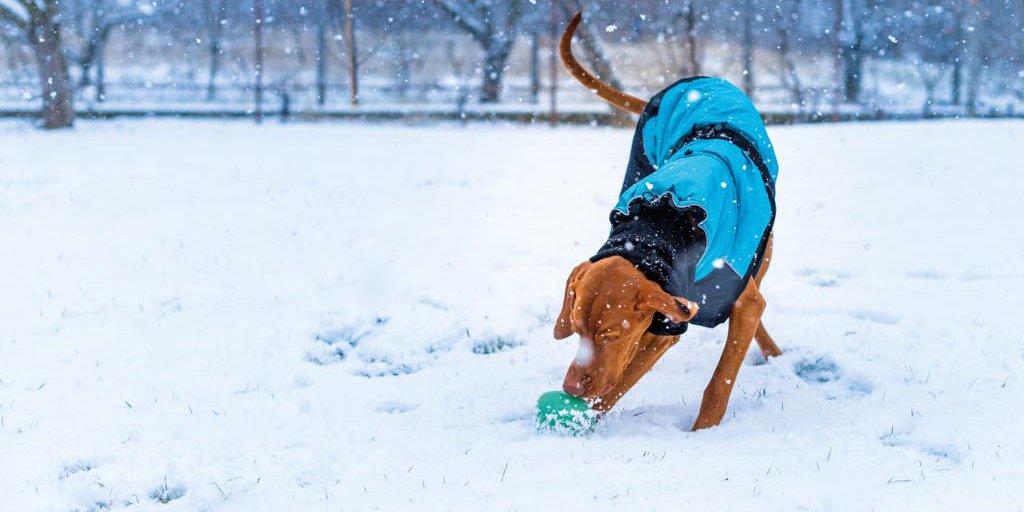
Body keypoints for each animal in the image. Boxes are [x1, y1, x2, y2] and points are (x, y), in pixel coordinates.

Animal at [557, 12, 778, 430]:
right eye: (576, 329)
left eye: (609, 335)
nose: (571, 388)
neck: (658, 229)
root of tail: (694, 80)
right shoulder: (665, 318)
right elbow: (621, 379)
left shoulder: (733, 304)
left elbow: (719, 382)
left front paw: (702, 433)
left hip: (764, 246)